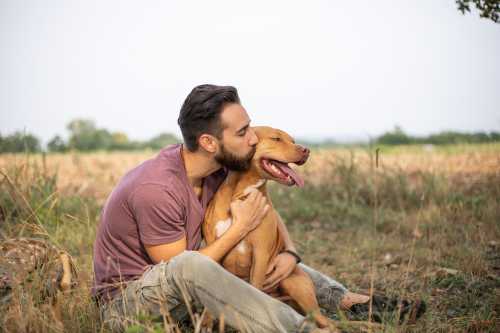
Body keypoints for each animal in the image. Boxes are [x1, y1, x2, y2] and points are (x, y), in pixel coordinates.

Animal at [203, 126, 332, 328]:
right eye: (276, 139)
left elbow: (254, 290)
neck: (241, 193)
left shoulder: (261, 253)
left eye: (292, 140)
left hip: (294, 285)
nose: (306, 150)